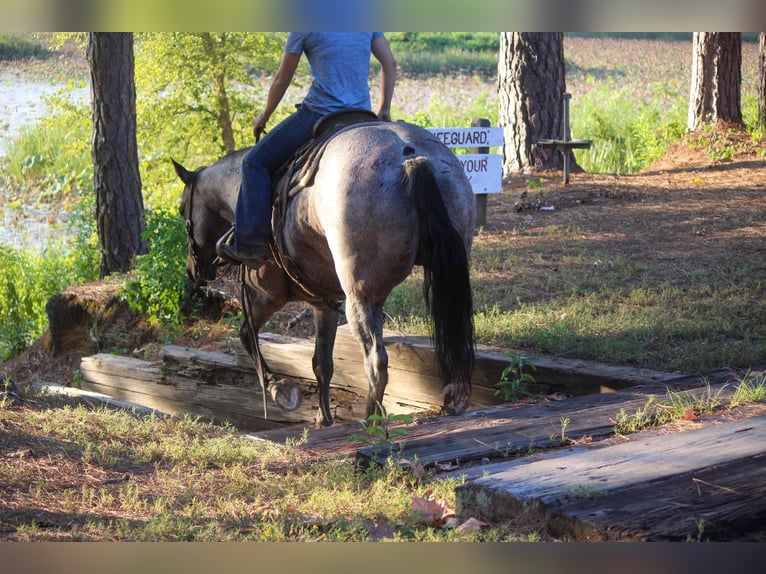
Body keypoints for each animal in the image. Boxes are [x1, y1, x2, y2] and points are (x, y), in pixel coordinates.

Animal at [175, 120, 476, 428]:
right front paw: (323, 417)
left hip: (359, 297)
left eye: (181, 210)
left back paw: (370, 420)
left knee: (376, 361)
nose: (192, 270)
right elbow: (322, 363)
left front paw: (280, 389)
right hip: (439, 276)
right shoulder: (324, 303)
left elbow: (247, 334)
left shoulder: (265, 296)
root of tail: (412, 158)